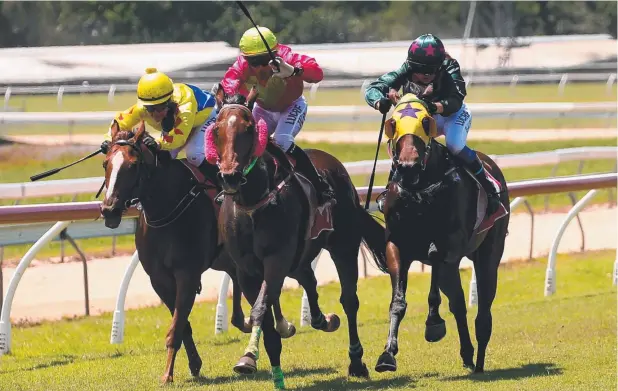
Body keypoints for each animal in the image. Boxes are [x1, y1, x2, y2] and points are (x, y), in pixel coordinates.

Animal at [99, 121, 296, 384]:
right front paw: (193, 364)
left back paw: (280, 326)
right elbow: (182, 324)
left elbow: (177, 325)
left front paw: (167, 375)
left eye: (133, 165)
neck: (167, 207)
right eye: (105, 163)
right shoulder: (159, 280)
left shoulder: (187, 275)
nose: (109, 209)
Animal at [207, 86, 388, 388]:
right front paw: (263, 365)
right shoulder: (246, 270)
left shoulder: (276, 260)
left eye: (248, 128)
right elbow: (265, 317)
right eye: (217, 129)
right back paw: (322, 320)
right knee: (310, 281)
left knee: (349, 300)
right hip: (300, 257)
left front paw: (249, 355)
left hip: (343, 246)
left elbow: (260, 309)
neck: (254, 202)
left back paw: (356, 361)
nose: (229, 176)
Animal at [370, 93, 510, 376]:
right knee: (458, 302)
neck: (419, 191)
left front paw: (433, 322)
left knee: (482, 308)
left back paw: (478, 360)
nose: (408, 166)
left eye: (426, 122)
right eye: (393, 123)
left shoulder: (451, 248)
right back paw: (467, 354)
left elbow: (436, 262)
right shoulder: (397, 246)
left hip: (489, 251)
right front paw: (387, 354)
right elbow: (398, 302)